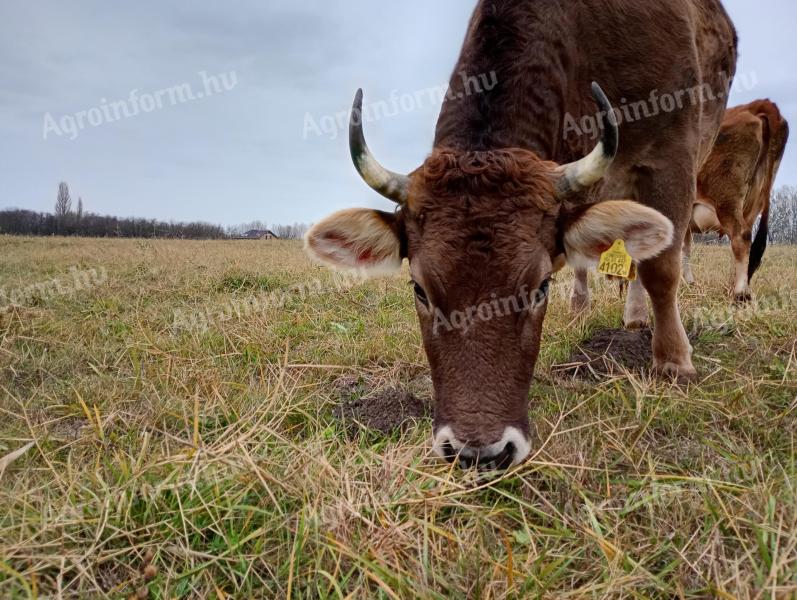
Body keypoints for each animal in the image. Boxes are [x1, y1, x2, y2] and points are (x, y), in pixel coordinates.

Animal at [304, 0, 732, 468]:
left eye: (540, 286)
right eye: (419, 289)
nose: (480, 453)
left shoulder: (672, 153)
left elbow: (663, 269)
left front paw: (674, 362)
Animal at [680, 101, 788, 304]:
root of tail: (755, 105)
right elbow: (685, 248)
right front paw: (687, 284)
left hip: (727, 201)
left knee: (741, 236)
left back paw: (740, 293)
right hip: (754, 202)